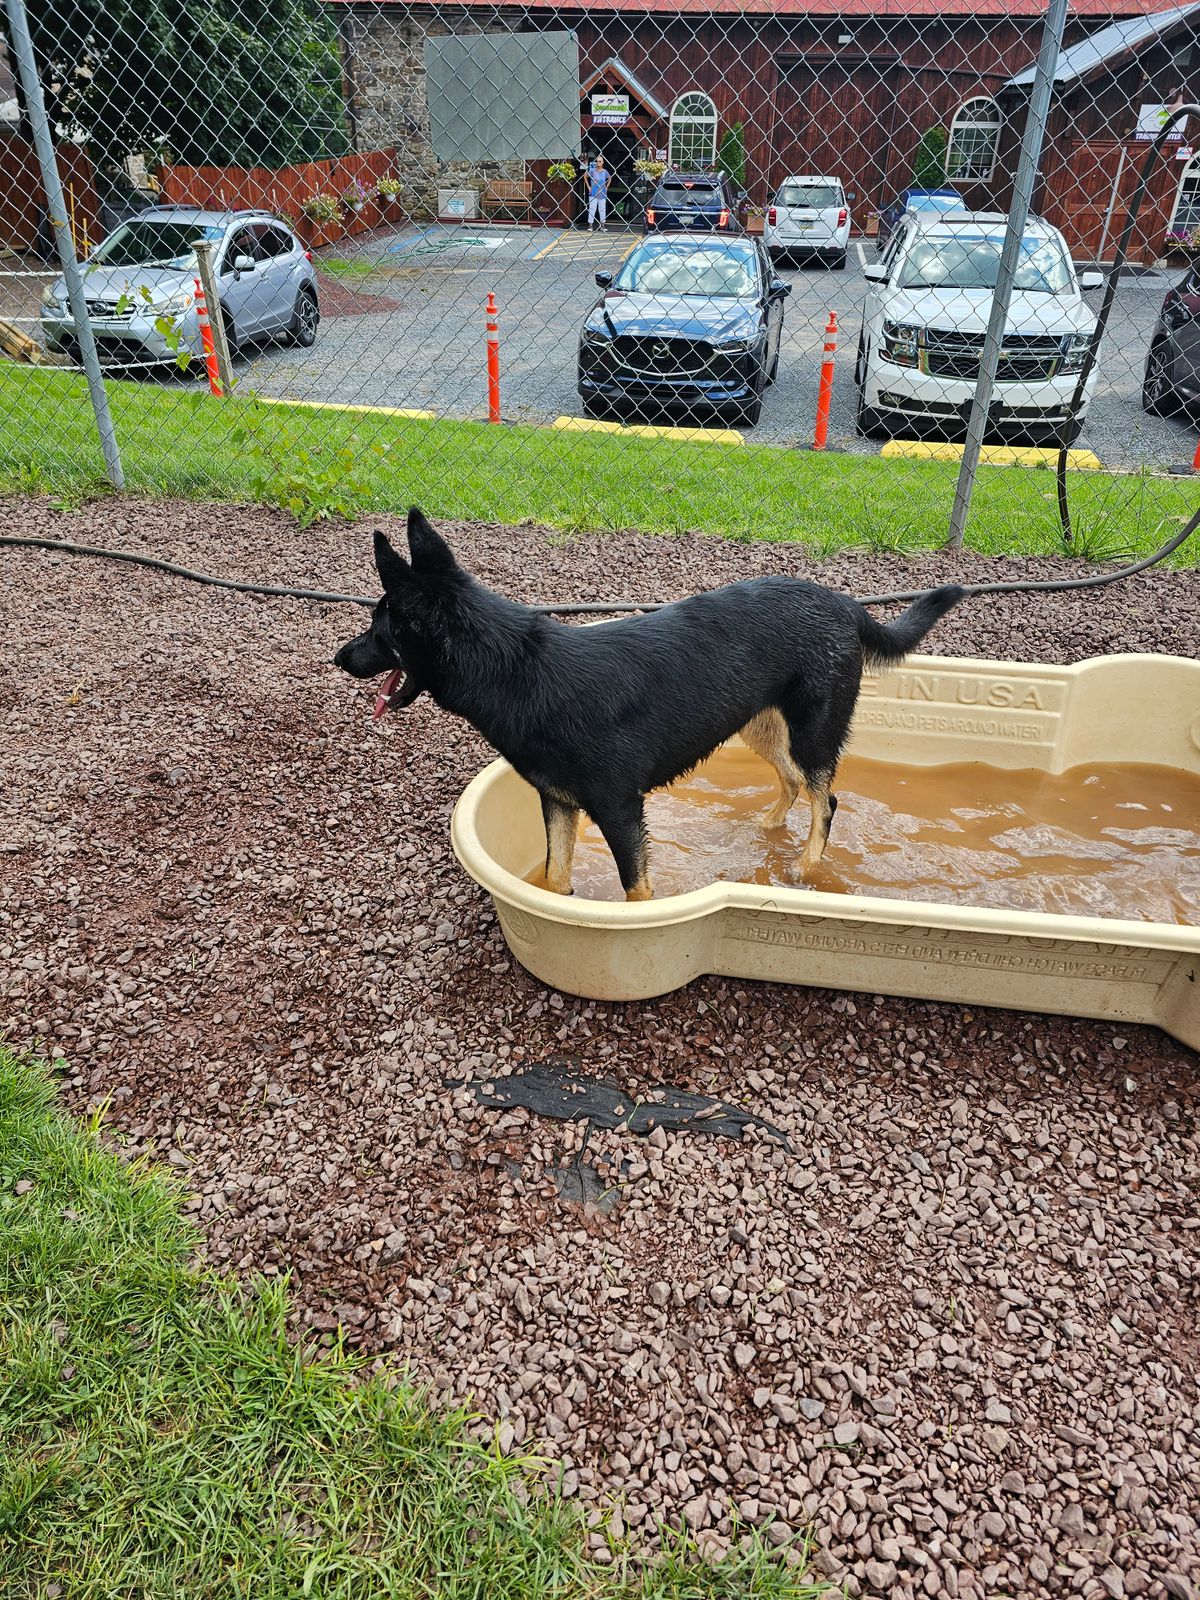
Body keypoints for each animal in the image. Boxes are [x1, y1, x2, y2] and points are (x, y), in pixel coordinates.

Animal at [334, 509, 966, 901]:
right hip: (760, 726)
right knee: (791, 783)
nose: (340, 656)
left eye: (380, 627)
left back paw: (802, 871)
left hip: (815, 729)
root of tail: (845, 603)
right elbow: (554, 878)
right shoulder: (558, 802)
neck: (517, 672)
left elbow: (636, 891)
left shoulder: (620, 809)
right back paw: (764, 831)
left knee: (825, 800)